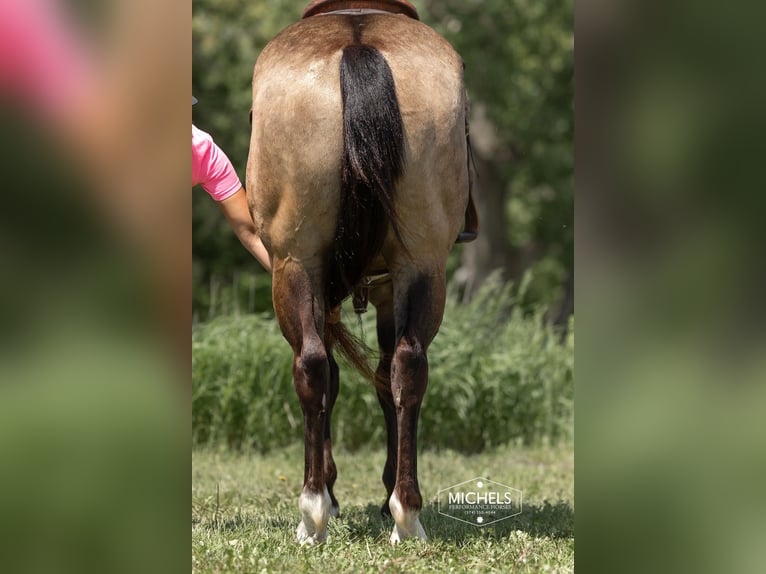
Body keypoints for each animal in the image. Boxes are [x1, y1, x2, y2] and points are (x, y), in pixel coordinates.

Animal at [246, 0, 475, 544]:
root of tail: (357, 43)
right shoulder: (391, 282)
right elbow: (382, 376)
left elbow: (338, 375)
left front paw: (331, 488)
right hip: (421, 266)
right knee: (407, 365)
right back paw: (406, 513)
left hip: (295, 266)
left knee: (314, 366)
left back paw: (316, 511)